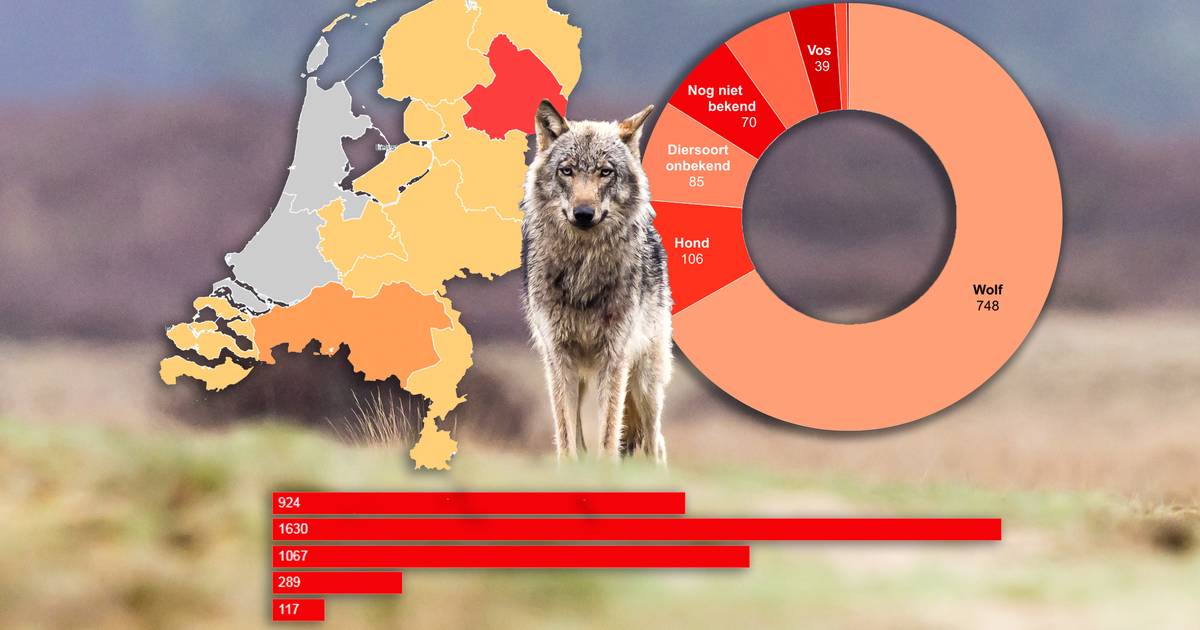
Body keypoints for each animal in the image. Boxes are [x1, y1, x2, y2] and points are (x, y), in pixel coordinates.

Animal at [521, 100, 672, 464]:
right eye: (567, 170)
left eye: (605, 171)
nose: (584, 213)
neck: (582, 271)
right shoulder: (558, 357)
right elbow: (566, 438)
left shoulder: (614, 358)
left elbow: (608, 434)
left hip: (645, 383)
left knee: (655, 442)